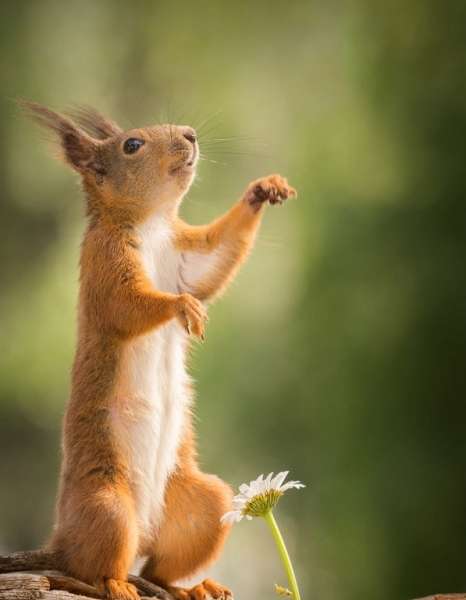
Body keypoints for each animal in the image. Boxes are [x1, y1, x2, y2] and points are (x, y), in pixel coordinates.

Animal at [18, 103, 296, 600]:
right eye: (132, 145)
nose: (190, 134)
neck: (150, 224)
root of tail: (60, 541)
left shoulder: (185, 256)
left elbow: (214, 262)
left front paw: (263, 189)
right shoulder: (104, 265)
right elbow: (129, 305)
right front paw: (181, 307)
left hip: (203, 505)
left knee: (157, 569)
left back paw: (192, 587)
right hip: (109, 506)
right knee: (90, 569)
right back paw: (114, 583)